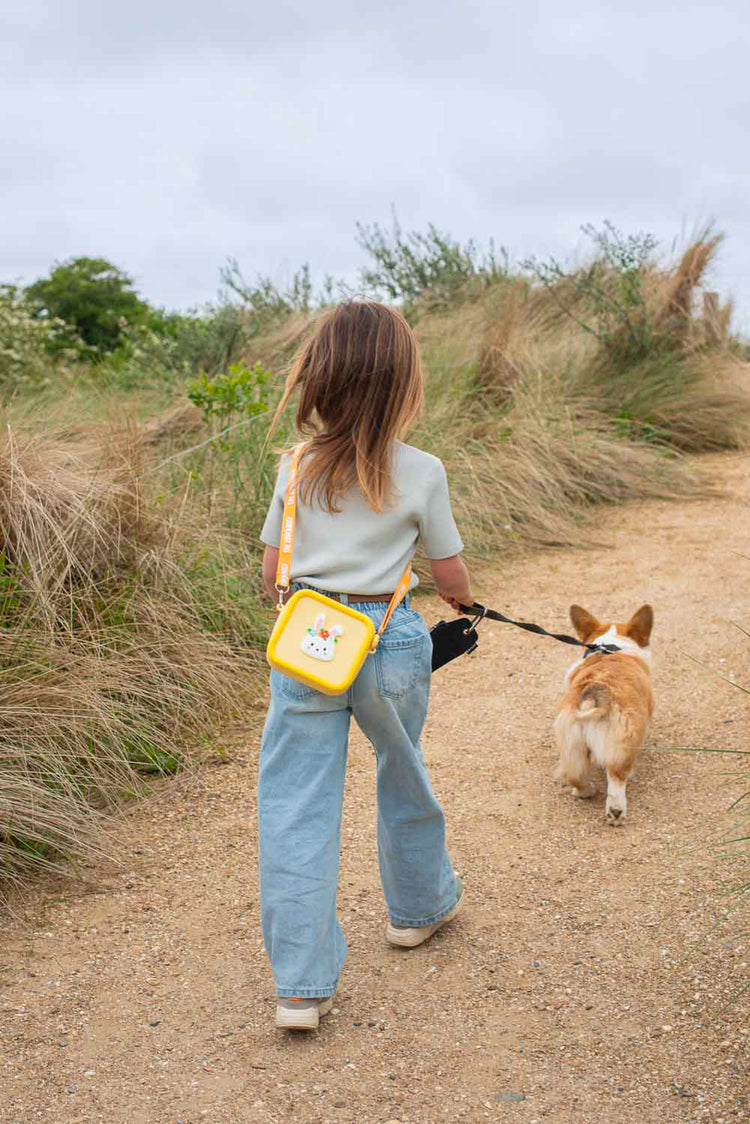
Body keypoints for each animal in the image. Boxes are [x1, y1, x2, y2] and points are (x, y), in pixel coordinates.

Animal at [555, 606, 652, 827]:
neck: (611, 646)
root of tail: (593, 697)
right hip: (620, 749)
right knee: (616, 784)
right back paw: (615, 814)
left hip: (572, 746)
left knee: (576, 776)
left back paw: (585, 791)